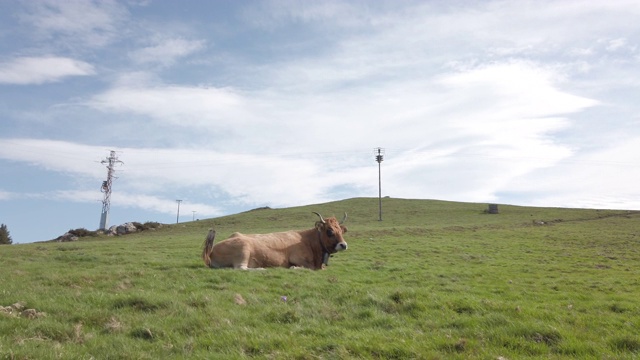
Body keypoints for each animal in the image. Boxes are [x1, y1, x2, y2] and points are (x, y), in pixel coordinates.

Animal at [201, 211, 348, 270]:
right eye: (329, 231)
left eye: (341, 231)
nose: (344, 245)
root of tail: (212, 250)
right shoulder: (298, 259)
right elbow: (307, 267)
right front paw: (295, 268)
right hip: (243, 248)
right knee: (241, 268)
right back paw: (261, 269)